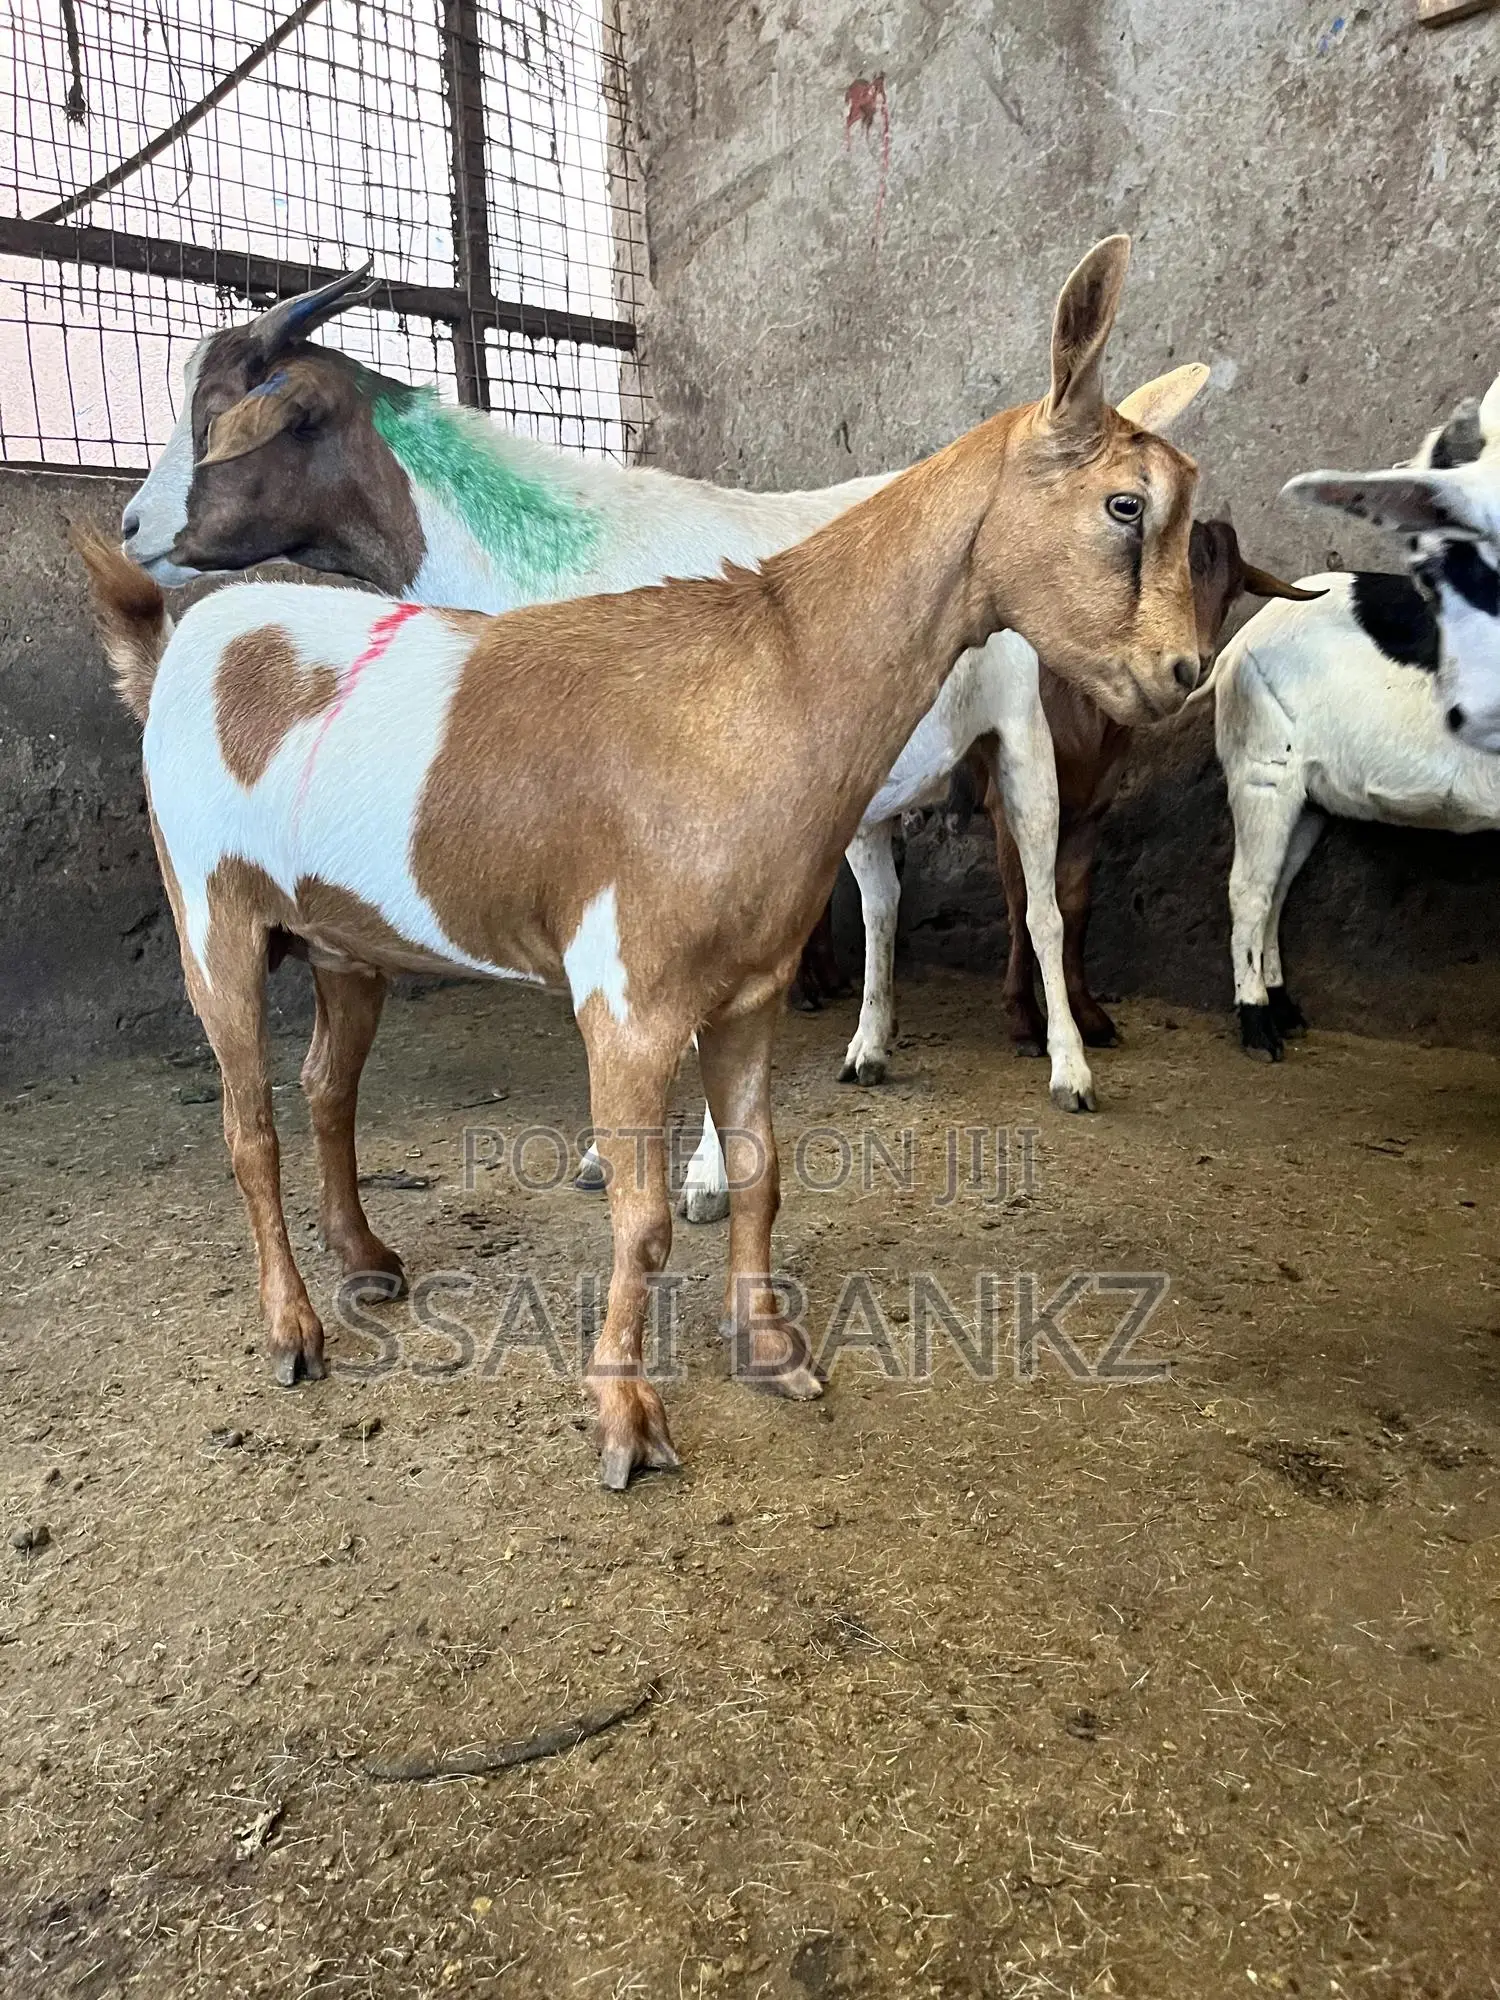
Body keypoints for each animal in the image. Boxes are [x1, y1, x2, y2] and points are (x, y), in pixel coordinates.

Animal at [80, 235, 1203, 1488]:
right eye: (1124, 504)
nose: (1184, 671)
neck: (772, 673)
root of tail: (186, 641)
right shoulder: (628, 995)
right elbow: (643, 1214)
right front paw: (624, 1418)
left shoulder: (752, 984)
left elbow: (764, 1167)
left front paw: (773, 1352)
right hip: (211, 910)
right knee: (250, 1125)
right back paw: (294, 1330)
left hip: (342, 934)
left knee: (327, 1087)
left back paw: (369, 1258)